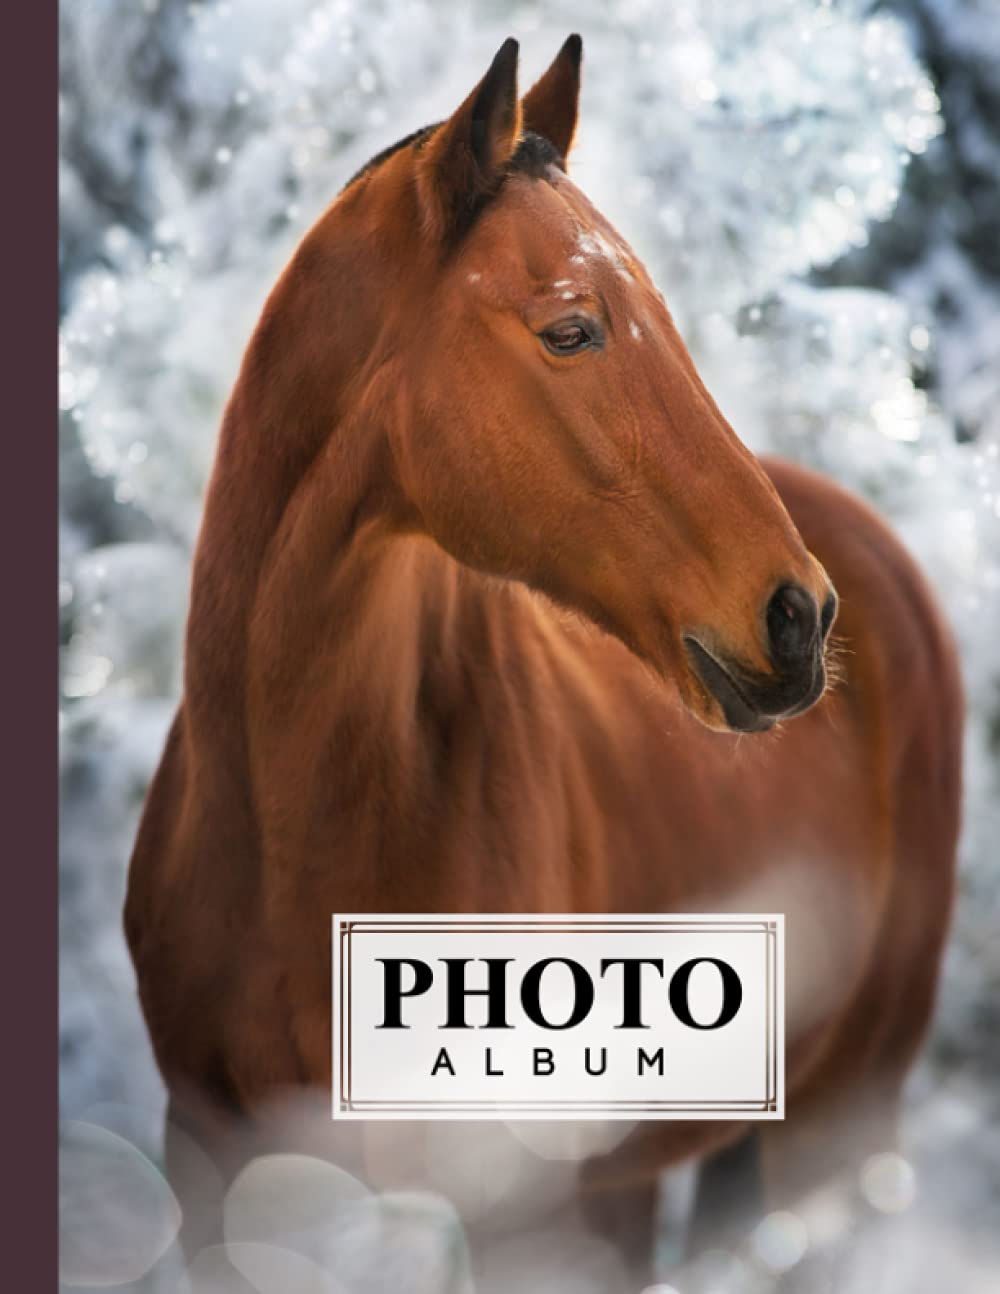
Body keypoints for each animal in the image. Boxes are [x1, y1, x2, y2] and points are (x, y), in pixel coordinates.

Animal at [124, 34, 962, 1289]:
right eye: (570, 329)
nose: (796, 617)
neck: (295, 830)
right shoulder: (217, 1175)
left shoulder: (512, 1214)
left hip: (835, 1123)